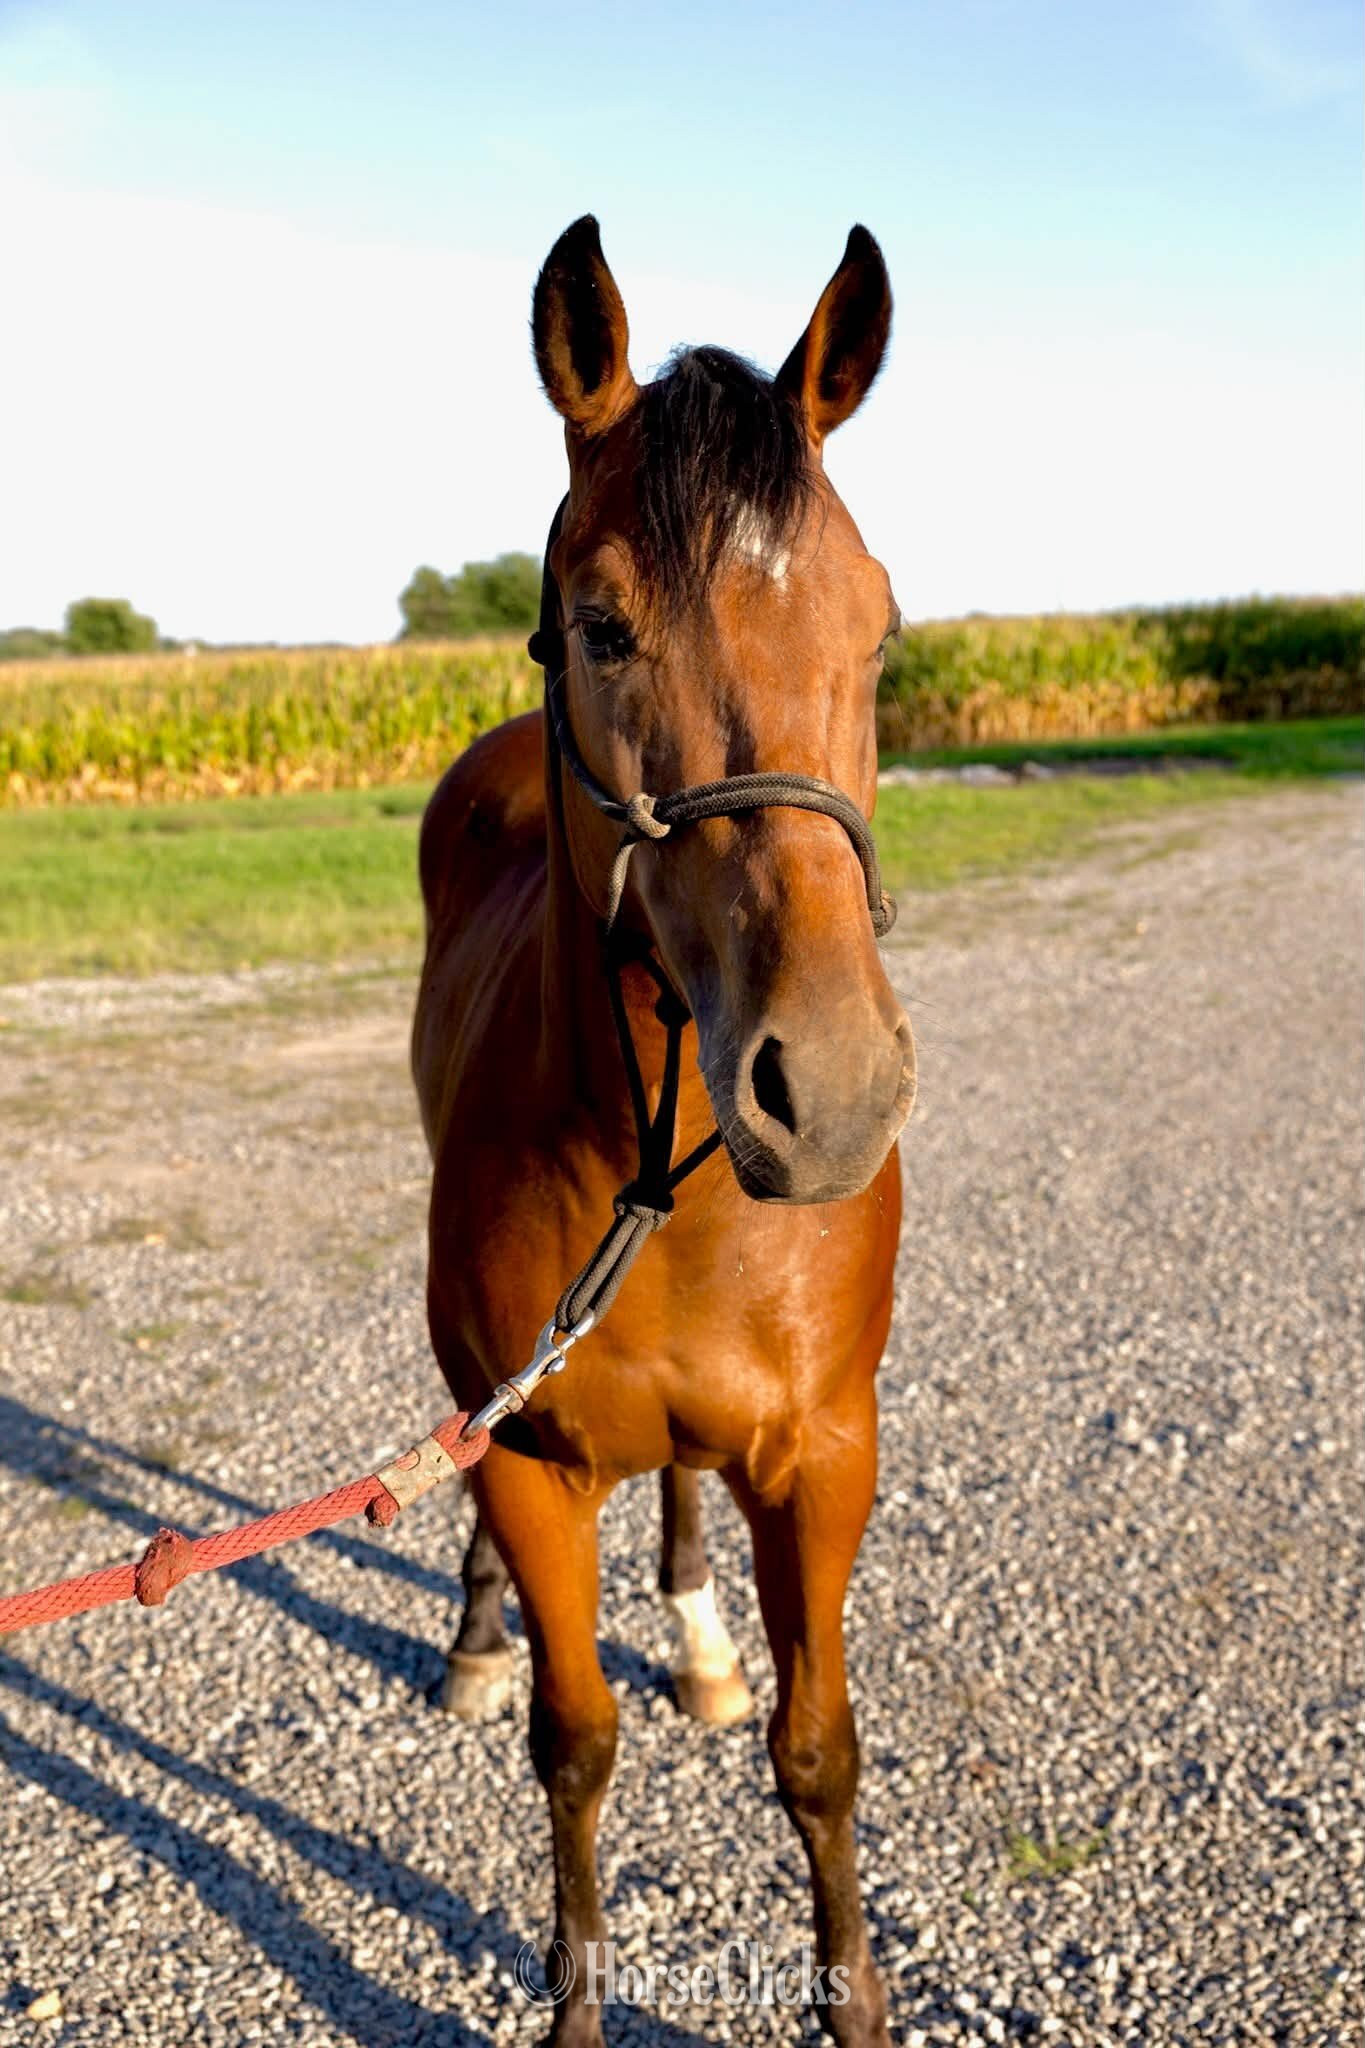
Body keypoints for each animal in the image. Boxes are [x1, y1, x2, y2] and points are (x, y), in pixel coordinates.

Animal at [412, 215, 914, 2045]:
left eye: (880, 632)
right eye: (600, 624)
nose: (827, 1089)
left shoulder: (826, 1452)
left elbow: (818, 1752)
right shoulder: (535, 1458)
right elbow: (573, 1748)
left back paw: (695, 1632)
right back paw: (474, 1636)